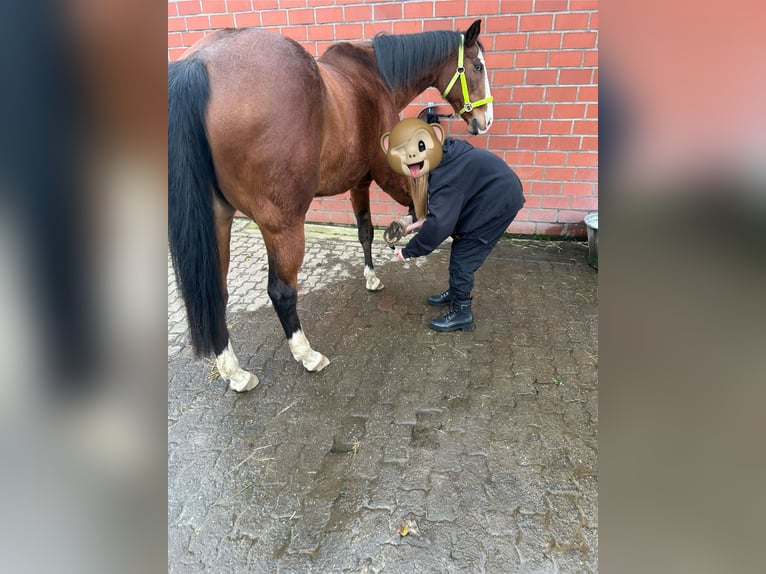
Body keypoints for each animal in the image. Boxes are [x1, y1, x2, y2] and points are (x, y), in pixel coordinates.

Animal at [168, 20, 496, 394]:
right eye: (477, 66)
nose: (485, 119)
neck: (375, 76)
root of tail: (199, 64)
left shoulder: (358, 182)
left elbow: (365, 231)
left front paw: (371, 275)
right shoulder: (387, 173)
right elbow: (417, 206)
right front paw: (403, 231)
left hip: (217, 220)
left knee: (217, 294)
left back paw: (234, 372)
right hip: (282, 223)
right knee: (281, 291)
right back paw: (307, 354)